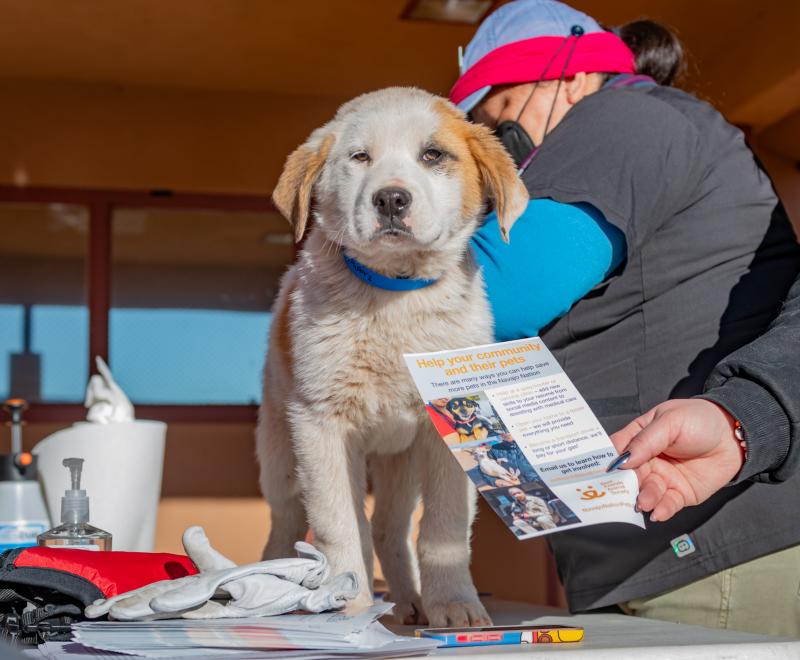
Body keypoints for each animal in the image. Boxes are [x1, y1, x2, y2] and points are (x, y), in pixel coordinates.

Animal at [258, 87, 524, 628]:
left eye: (433, 155)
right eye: (360, 157)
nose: (391, 199)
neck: (393, 295)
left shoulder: (445, 438)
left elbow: (444, 529)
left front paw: (454, 604)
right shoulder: (320, 424)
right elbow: (339, 523)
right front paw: (347, 605)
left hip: (400, 459)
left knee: (388, 527)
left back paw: (410, 601)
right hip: (279, 446)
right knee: (290, 521)